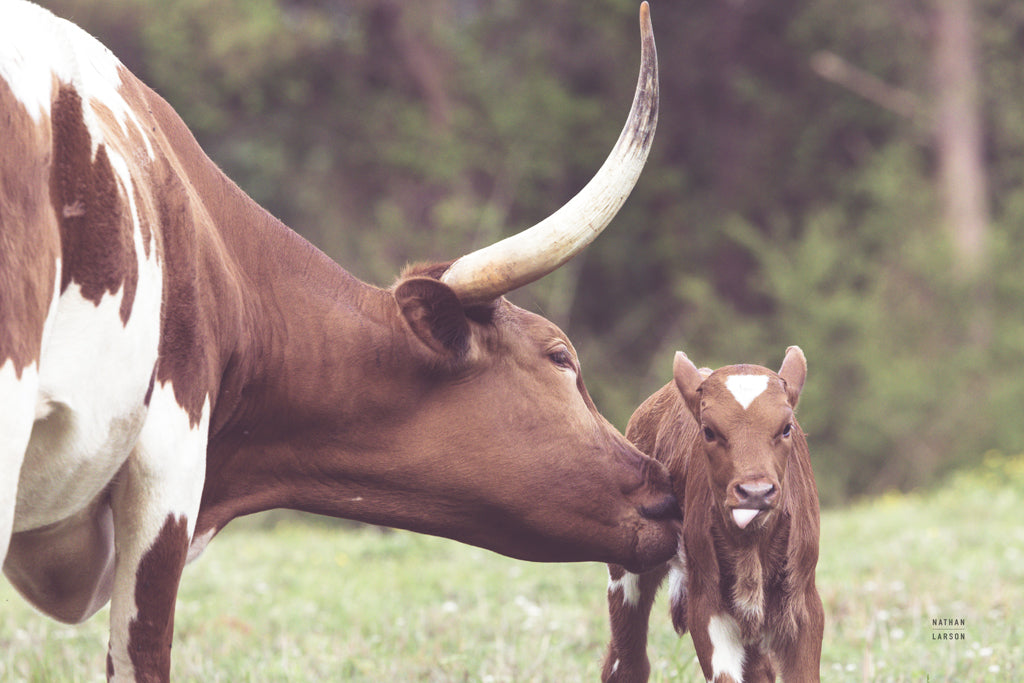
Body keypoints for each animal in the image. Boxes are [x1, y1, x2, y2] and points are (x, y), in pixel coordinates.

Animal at [598, 350, 823, 679]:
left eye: (786, 427)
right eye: (709, 431)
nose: (755, 491)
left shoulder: (804, 601)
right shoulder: (705, 603)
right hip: (627, 569)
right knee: (626, 662)